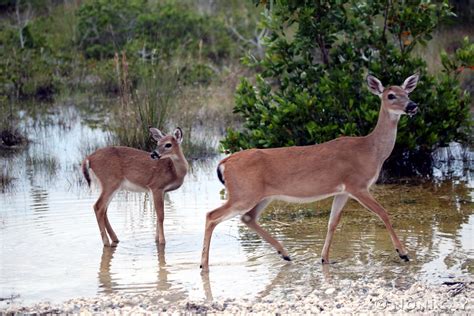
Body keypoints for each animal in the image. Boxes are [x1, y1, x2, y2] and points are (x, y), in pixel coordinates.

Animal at [200, 74, 418, 272]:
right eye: (390, 95)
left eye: (407, 93)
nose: (413, 105)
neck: (371, 150)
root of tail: (224, 162)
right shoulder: (357, 184)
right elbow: (383, 213)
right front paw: (403, 253)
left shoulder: (343, 191)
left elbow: (332, 222)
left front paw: (325, 259)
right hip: (243, 193)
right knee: (212, 215)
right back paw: (204, 265)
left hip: (261, 195)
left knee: (247, 218)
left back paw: (285, 254)